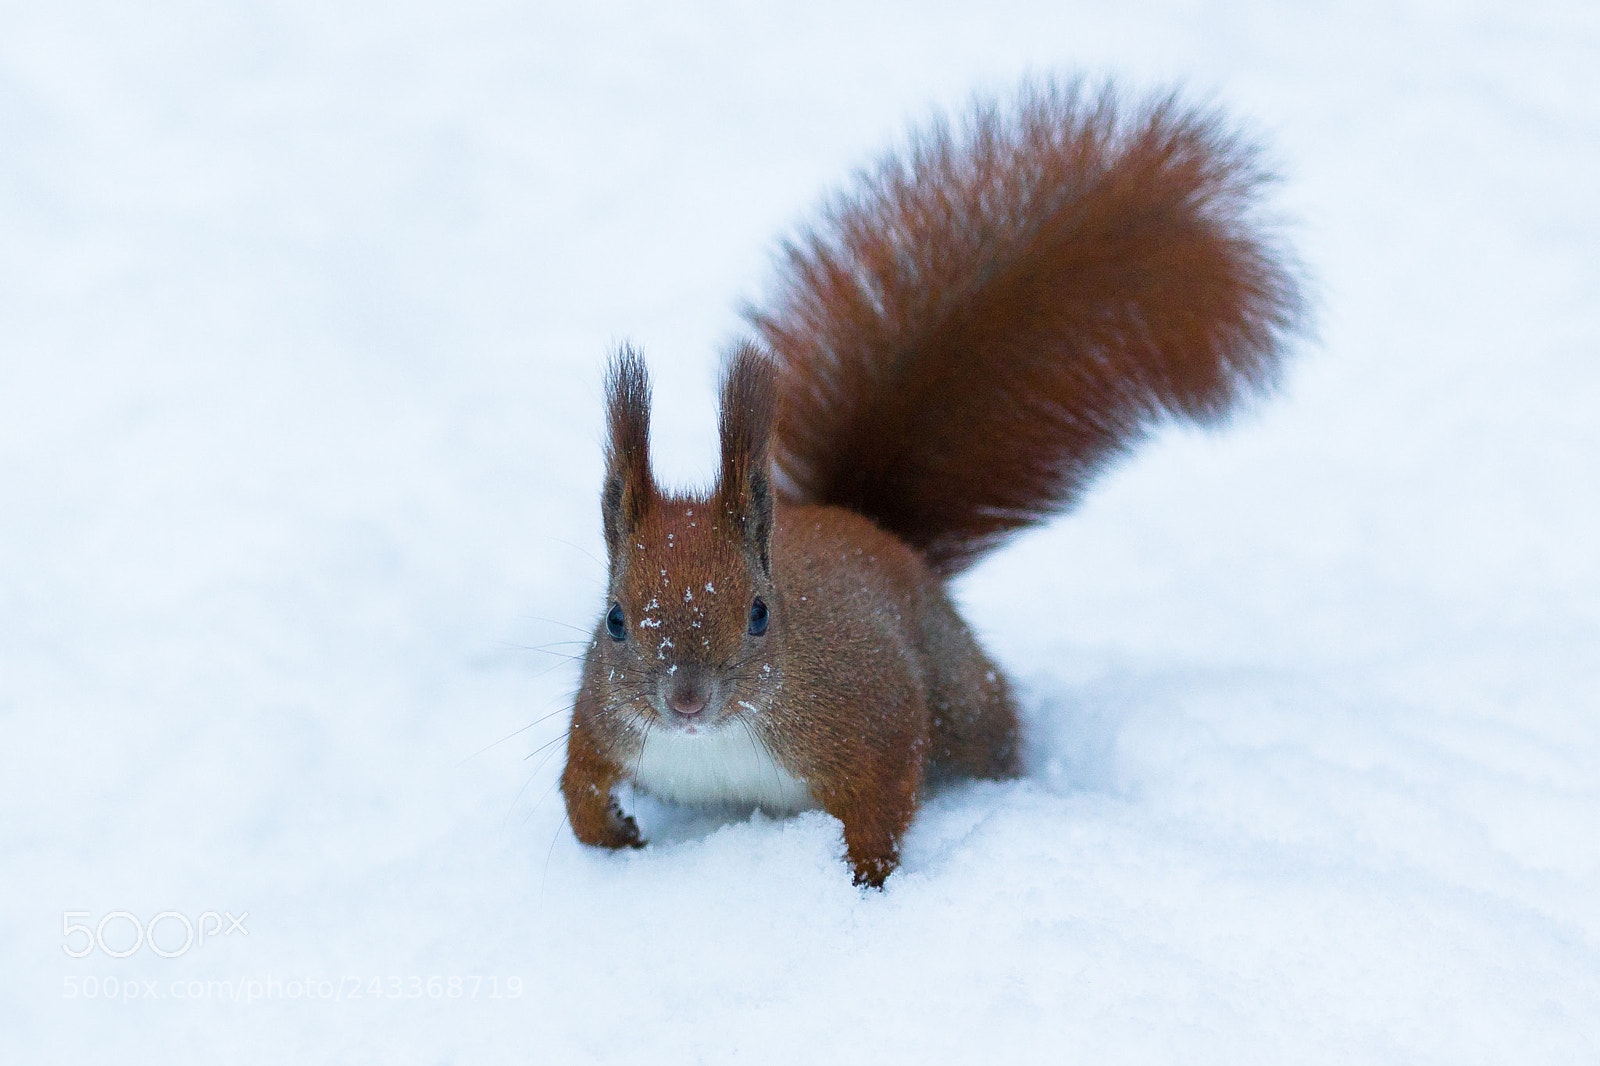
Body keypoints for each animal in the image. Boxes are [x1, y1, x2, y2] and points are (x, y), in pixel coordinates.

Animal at [558, 79, 1304, 887]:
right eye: (614, 619)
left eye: (759, 614)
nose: (686, 701)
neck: (718, 741)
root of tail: (882, 534)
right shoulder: (599, 718)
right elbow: (577, 783)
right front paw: (610, 834)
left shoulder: (868, 712)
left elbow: (885, 794)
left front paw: (864, 880)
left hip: (963, 698)